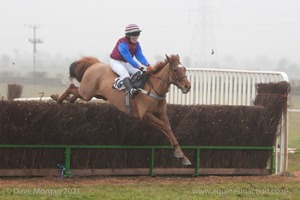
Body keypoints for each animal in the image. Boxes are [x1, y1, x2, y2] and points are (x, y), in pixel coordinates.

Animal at [53, 54, 192, 165]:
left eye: (184, 69)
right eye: (175, 70)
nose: (187, 86)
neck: (154, 89)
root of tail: (95, 64)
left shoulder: (161, 113)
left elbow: (168, 128)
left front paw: (183, 156)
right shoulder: (145, 115)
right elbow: (165, 127)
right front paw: (180, 154)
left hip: (96, 95)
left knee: (74, 94)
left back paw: (65, 100)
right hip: (87, 92)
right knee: (71, 87)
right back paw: (57, 99)